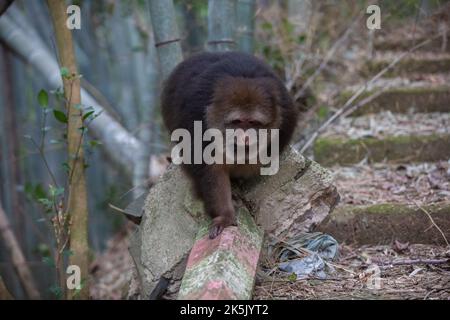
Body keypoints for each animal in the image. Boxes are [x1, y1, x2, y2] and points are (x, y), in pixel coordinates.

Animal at [163, 51, 298, 239]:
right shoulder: (196, 119)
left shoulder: (286, 117)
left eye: (253, 123)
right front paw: (225, 215)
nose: (245, 138)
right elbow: (209, 167)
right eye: (237, 122)